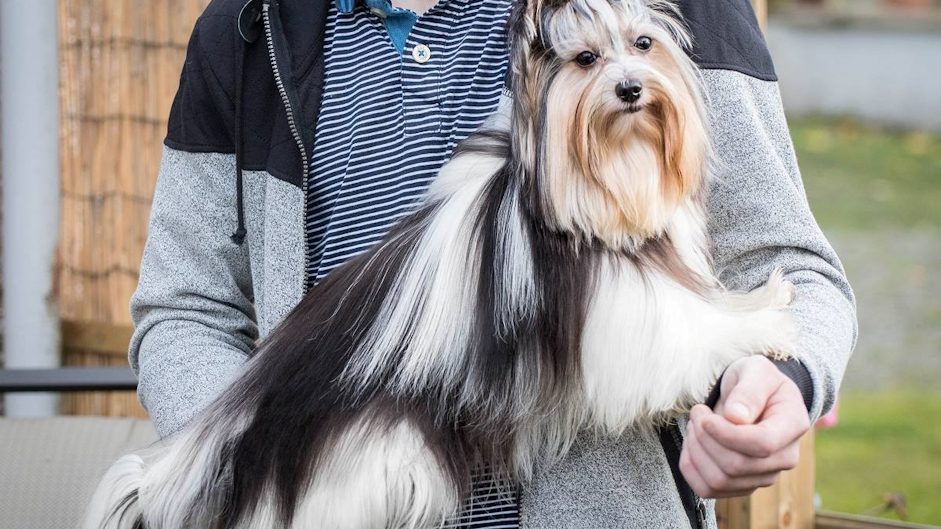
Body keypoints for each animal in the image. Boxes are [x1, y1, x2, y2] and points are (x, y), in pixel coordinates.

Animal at [84, 0, 796, 524]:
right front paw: (762, 319)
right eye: (585, 59)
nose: (629, 88)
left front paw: (760, 304)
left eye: (644, 44)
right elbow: (687, 328)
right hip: (364, 460)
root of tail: (227, 445)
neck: (603, 173)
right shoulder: (610, 311)